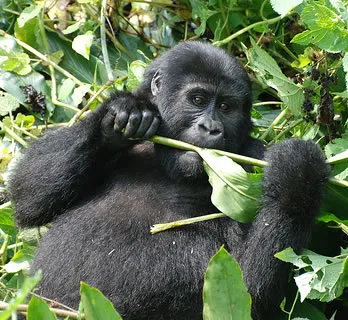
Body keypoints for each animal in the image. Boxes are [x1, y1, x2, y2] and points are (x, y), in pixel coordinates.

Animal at [7, 41, 328, 318]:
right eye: (197, 100)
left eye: (226, 107)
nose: (211, 128)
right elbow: (27, 194)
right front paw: (118, 115)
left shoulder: (252, 156)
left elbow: (249, 291)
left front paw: (299, 170)